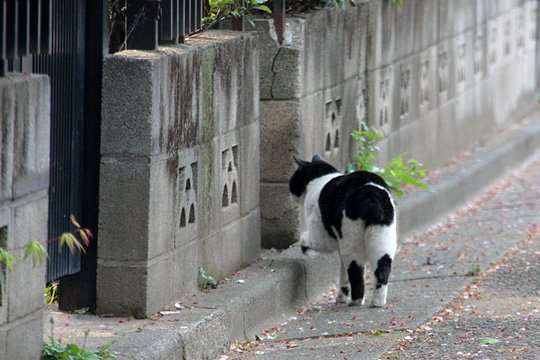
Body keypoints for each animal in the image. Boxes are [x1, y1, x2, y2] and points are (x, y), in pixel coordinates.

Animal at [292, 154, 396, 306]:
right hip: (382, 239)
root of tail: (371, 196)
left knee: (356, 274)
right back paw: (377, 302)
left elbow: (305, 238)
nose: (291, 195)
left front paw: (305, 248)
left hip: (351, 243)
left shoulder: (323, 238)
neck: (321, 178)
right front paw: (341, 296)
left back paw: (355, 301)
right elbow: (343, 273)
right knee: (382, 269)